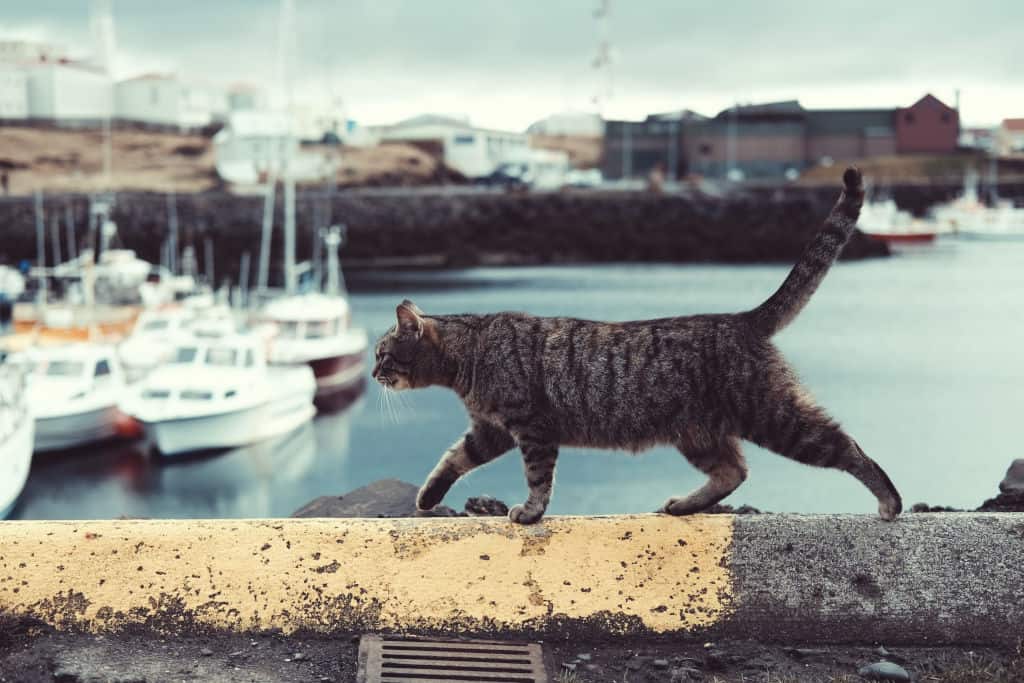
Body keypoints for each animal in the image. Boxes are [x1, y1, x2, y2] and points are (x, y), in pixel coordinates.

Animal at [372, 169, 901, 524]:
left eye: (381, 354)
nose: (373, 374)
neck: (471, 352)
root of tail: (742, 319)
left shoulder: (531, 427)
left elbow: (538, 478)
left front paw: (531, 512)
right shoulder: (490, 430)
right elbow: (451, 459)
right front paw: (428, 497)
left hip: (775, 417)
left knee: (845, 446)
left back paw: (889, 501)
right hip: (700, 434)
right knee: (733, 472)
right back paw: (685, 505)